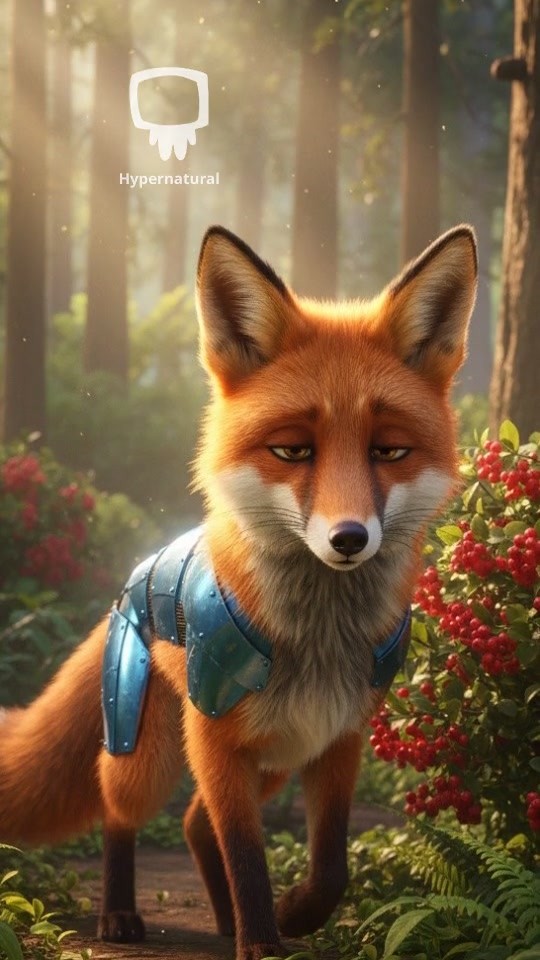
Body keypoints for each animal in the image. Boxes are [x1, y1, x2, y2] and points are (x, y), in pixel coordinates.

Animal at [0, 223, 477, 960]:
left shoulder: (335, 739)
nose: (349, 537)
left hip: (275, 756)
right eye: (292, 451)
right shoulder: (219, 740)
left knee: (196, 824)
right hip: (152, 755)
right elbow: (248, 854)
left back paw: (222, 921)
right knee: (121, 812)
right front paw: (261, 941)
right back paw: (121, 914)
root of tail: (133, 578)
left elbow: (331, 863)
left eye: (389, 451)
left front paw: (297, 915)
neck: (316, 640)